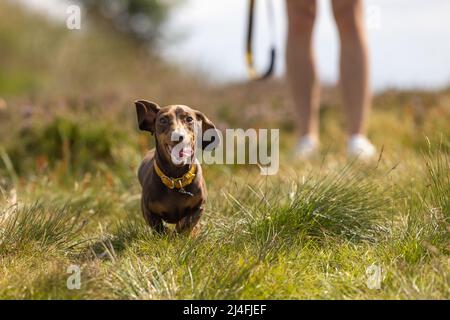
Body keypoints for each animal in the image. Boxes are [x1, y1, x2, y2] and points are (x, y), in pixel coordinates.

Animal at [134, 100, 218, 235]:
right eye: (163, 120)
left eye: (189, 119)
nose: (178, 136)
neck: (176, 178)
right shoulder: (147, 210)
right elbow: (158, 227)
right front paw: (166, 234)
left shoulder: (199, 205)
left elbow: (186, 223)